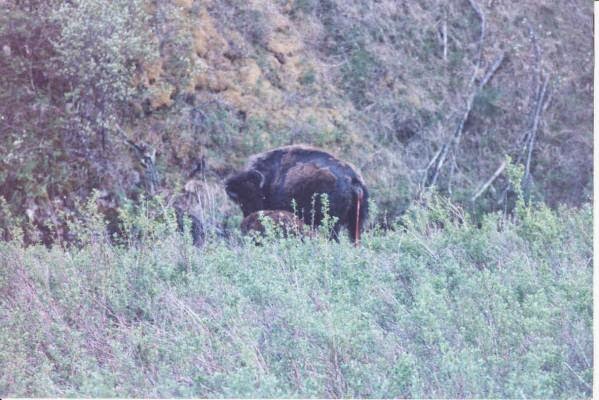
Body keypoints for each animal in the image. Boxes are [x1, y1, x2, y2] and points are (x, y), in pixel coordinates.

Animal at [224, 145, 368, 244]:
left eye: (252, 195)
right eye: (240, 200)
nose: (249, 218)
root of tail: (354, 180)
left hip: (332, 224)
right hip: (355, 224)